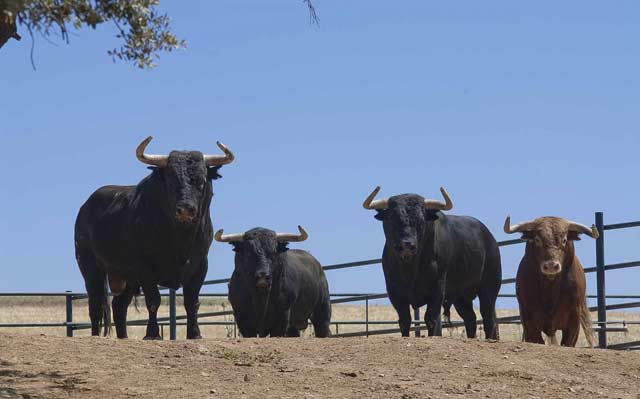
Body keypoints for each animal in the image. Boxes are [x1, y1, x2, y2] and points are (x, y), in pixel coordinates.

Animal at [74, 138, 235, 340]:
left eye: (202, 180)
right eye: (171, 180)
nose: (185, 209)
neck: (180, 238)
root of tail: (85, 207)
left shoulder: (200, 265)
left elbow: (192, 302)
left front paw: (194, 333)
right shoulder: (144, 268)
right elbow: (153, 300)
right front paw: (152, 333)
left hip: (127, 278)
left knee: (119, 306)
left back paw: (124, 337)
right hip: (90, 266)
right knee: (96, 304)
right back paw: (96, 335)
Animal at [362, 188, 502, 340]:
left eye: (420, 220)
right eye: (392, 218)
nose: (406, 244)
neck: (410, 269)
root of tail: (489, 237)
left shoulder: (437, 288)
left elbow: (430, 318)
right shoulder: (394, 291)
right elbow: (404, 320)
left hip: (489, 288)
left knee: (488, 317)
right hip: (461, 296)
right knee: (470, 318)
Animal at [504, 216, 596, 346]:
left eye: (564, 240)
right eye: (537, 239)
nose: (551, 266)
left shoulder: (574, 319)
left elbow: (568, 342)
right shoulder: (528, 320)